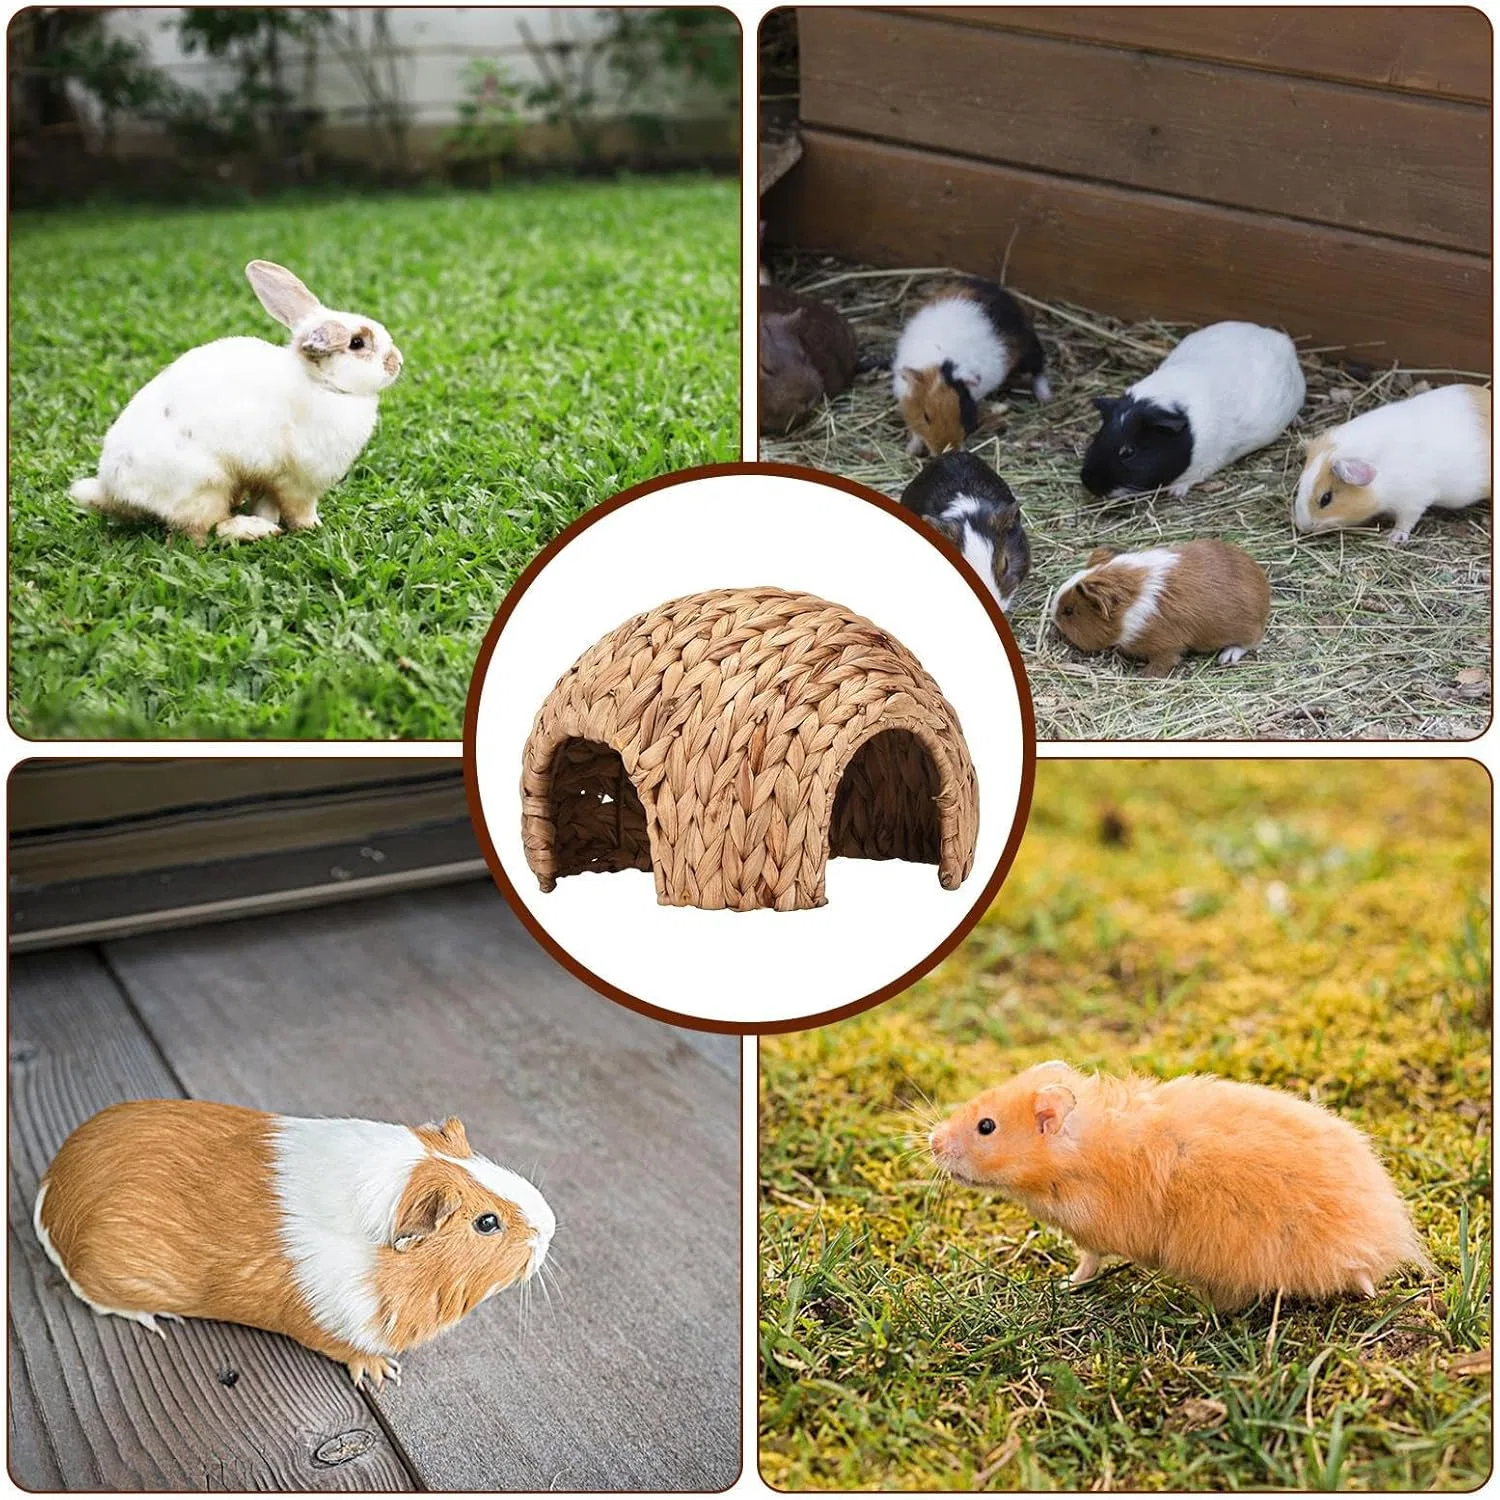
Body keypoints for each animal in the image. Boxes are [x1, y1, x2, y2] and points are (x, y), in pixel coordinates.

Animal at [34, 1100, 553, 1389]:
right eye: (487, 1222)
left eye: (482, 1160)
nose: (549, 1227)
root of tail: (51, 1195)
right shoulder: (327, 1316)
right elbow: (345, 1347)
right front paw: (383, 1373)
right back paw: (161, 1320)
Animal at [69, 260, 403, 546]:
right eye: (357, 344)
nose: (396, 362)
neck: (321, 384)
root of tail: (112, 490)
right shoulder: (300, 480)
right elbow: (300, 510)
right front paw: (314, 527)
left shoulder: (268, 479)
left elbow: (266, 502)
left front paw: (272, 519)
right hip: (206, 486)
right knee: (203, 532)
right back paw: (255, 531)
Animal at [893, 277, 1050, 457]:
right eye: (926, 416)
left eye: (963, 412)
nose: (947, 451)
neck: (939, 361)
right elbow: (916, 432)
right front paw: (911, 450)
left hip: (1028, 351)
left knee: (1039, 369)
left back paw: (1045, 397)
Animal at [929, 1061, 1429, 1311]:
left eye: (986, 1127)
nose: (932, 1142)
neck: (1076, 1155)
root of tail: (1385, 1245)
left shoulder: (1094, 1231)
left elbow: (1088, 1262)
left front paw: (1064, 1285)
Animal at [1050, 539, 1270, 677]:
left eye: (1069, 611)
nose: (1053, 616)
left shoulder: (1166, 646)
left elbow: (1164, 661)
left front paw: (1145, 675)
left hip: (1246, 632)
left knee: (1251, 642)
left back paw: (1226, 658)